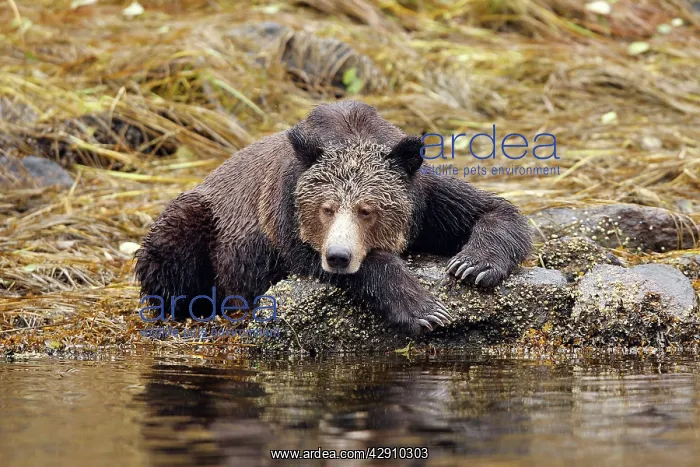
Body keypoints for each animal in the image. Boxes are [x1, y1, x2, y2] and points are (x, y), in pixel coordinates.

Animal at [135, 100, 532, 333]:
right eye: (326, 208)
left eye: (367, 210)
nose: (338, 256)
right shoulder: (285, 210)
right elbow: (317, 257)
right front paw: (424, 309)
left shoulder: (427, 199)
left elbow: (493, 210)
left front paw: (473, 265)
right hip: (207, 219)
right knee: (172, 249)